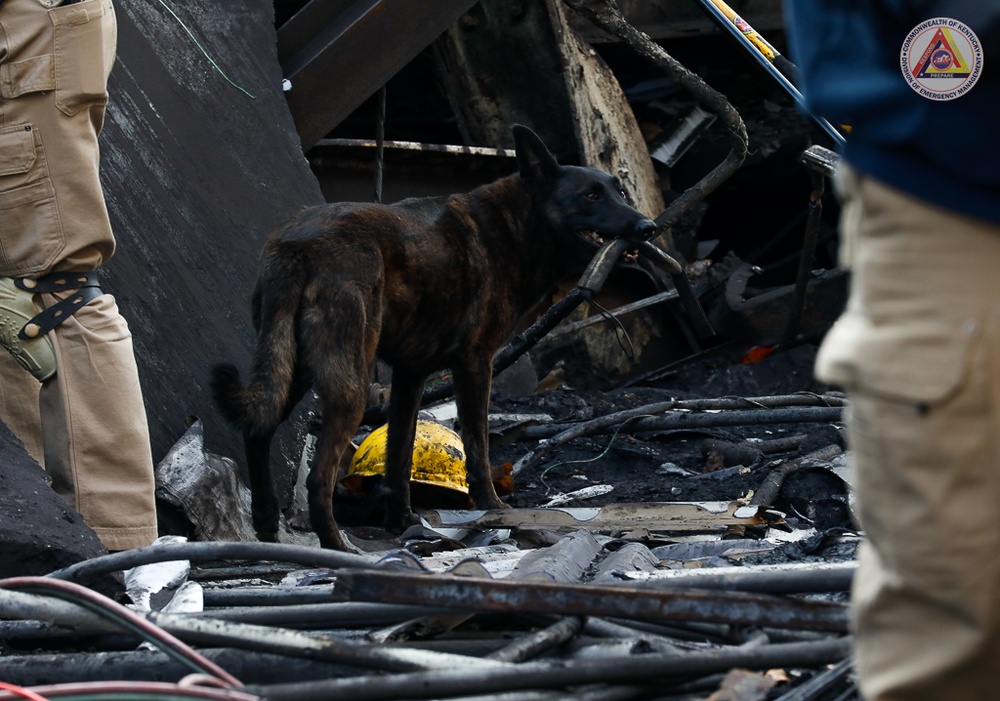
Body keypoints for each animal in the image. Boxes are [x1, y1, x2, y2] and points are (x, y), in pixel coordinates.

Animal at [213, 127, 656, 552]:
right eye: (591, 195)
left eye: (618, 191)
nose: (647, 227)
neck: (513, 227)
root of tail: (298, 244)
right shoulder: (475, 364)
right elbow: (477, 447)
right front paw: (493, 509)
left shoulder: (410, 375)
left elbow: (399, 453)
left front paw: (400, 522)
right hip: (350, 382)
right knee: (319, 476)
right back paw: (335, 546)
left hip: (293, 368)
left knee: (258, 431)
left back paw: (268, 530)